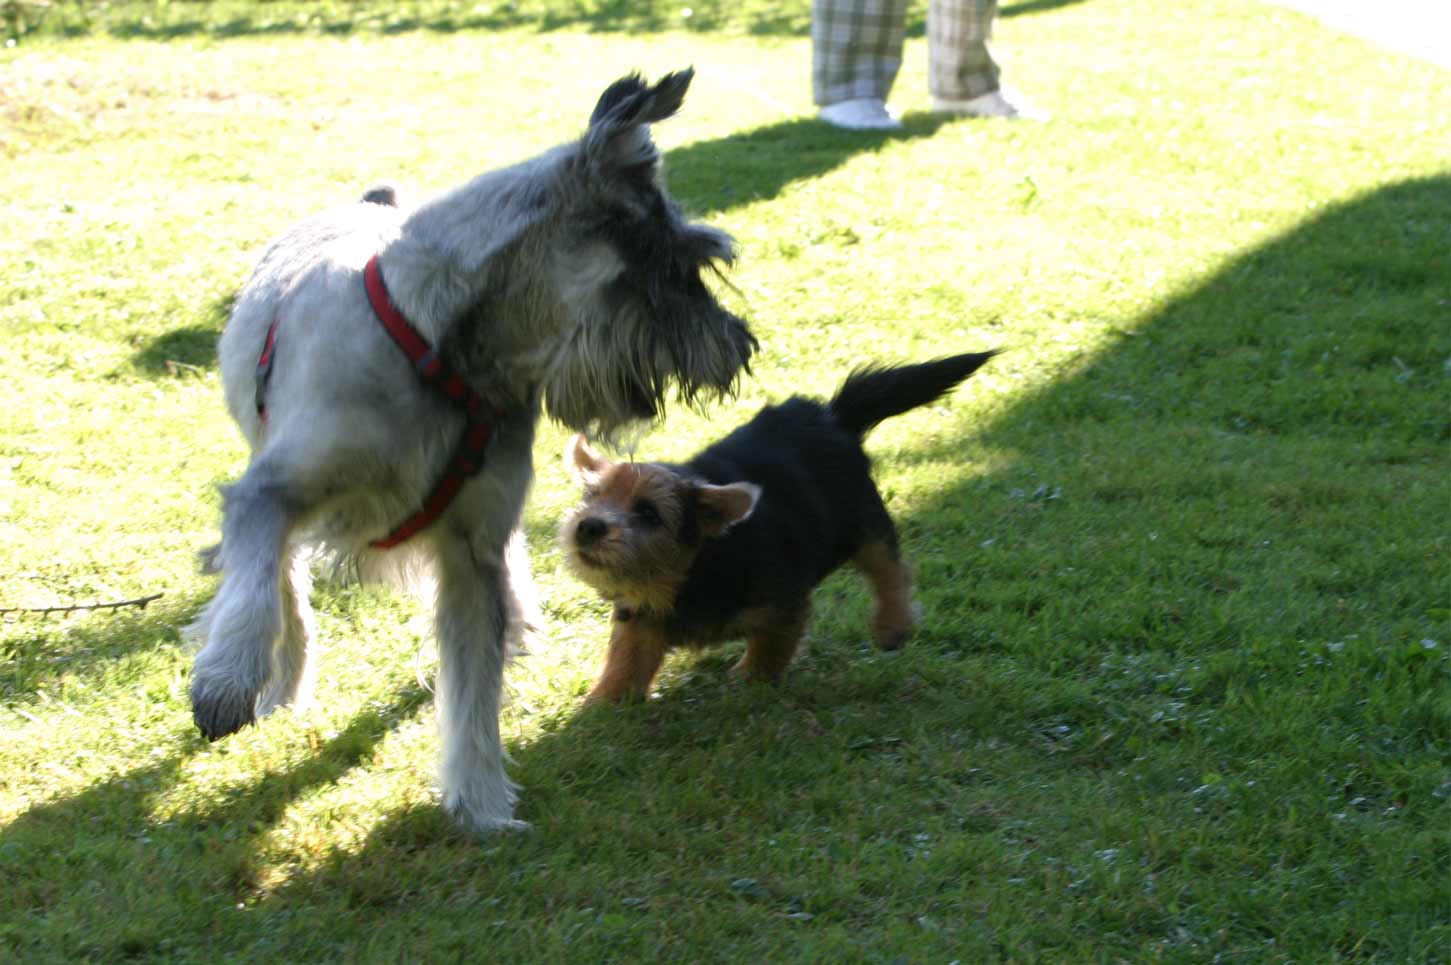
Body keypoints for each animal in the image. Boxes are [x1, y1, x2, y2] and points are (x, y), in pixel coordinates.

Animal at [187, 71, 760, 830]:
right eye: (681, 264)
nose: (740, 346)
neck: (448, 358)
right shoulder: (272, 490)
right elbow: (258, 582)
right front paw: (228, 678)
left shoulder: (468, 547)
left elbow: (473, 688)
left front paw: (482, 801)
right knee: (287, 583)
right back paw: (283, 682)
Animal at [557, 349, 998, 705]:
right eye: (592, 495)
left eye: (650, 513)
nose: (588, 527)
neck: (690, 572)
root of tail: (831, 416)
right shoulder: (639, 617)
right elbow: (627, 657)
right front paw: (602, 703)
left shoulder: (785, 601)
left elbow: (772, 646)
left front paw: (749, 679)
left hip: (861, 520)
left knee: (889, 567)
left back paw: (893, 623)